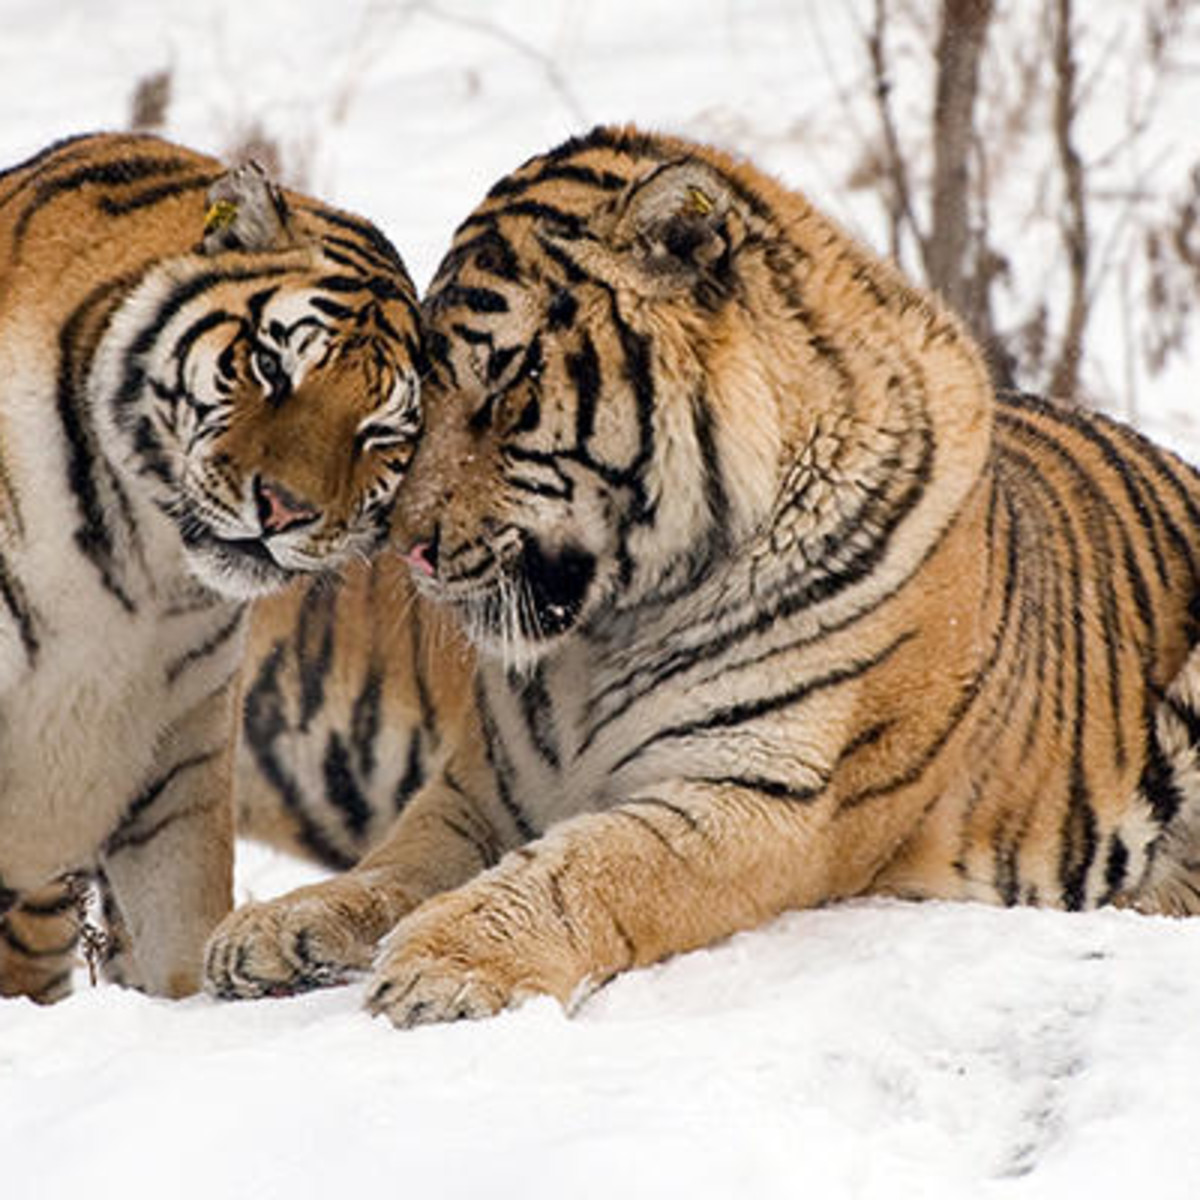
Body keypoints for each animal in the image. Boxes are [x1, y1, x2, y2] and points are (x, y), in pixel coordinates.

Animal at [0, 132, 423, 1002]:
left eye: (379, 432)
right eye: (270, 366)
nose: (284, 509)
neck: (139, 566)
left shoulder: (175, 758)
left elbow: (180, 932)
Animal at [206, 124, 1200, 1028]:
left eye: (506, 388)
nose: (403, 544)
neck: (607, 633)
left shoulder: (770, 793)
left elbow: (587, 868)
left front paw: (444, 962)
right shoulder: (482, 788)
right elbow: (394, 864)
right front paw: (279, 929)